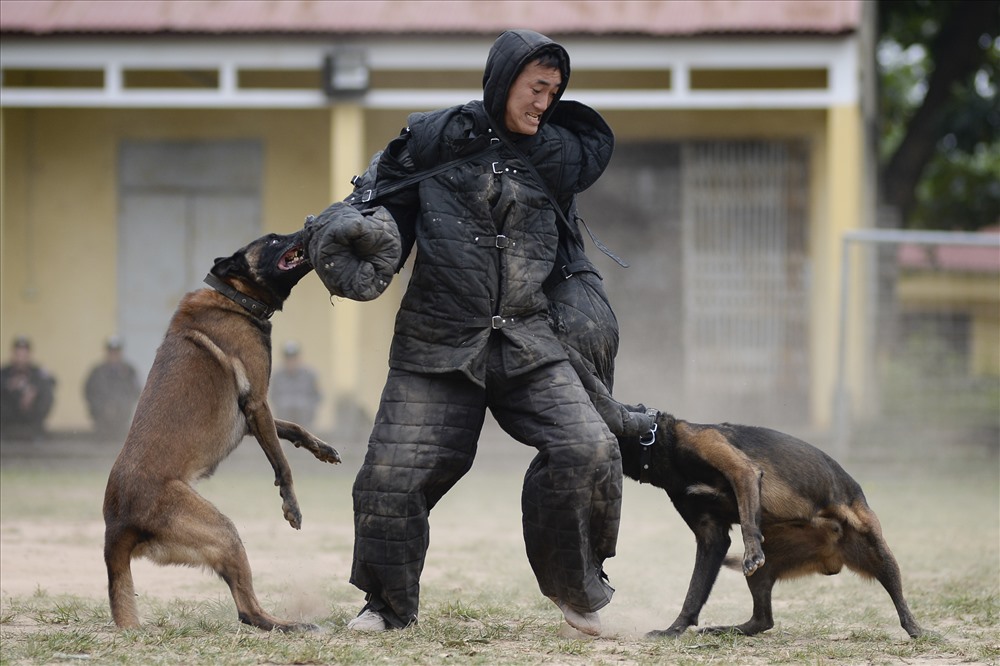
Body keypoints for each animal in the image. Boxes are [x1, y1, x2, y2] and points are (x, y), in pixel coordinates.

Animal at [102, 231, 340, 632]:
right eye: (274, 239)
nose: (309, 226)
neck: (235, 298)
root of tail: (114, 526)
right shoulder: (257, 403)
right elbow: (282, 464)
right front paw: (290, 504)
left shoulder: (249, 419)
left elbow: (292, 428)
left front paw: (320, 447)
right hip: (223, 532)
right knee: (248, 610)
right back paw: (290, 625)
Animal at [620, 410, 924, 640]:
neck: (662, 443)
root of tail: (831, 555)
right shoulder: (711, 538)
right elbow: (694, 593)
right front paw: (673, 630)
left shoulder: (742, 472)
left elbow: (746, 519)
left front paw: (751, 551)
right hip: (763, 574)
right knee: (763, 620)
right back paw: (727, 629)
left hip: (879, 552)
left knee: (900, 601)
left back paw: (919, 631)